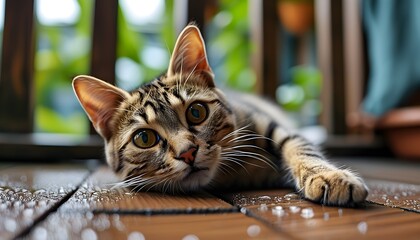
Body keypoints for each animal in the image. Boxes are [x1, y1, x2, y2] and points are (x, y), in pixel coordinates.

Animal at [73, 24, 368, 206]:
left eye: (196, 112)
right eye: (144, 138)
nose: (187, 153)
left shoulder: (269, 123)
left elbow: (300, 147)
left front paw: (329, 177)